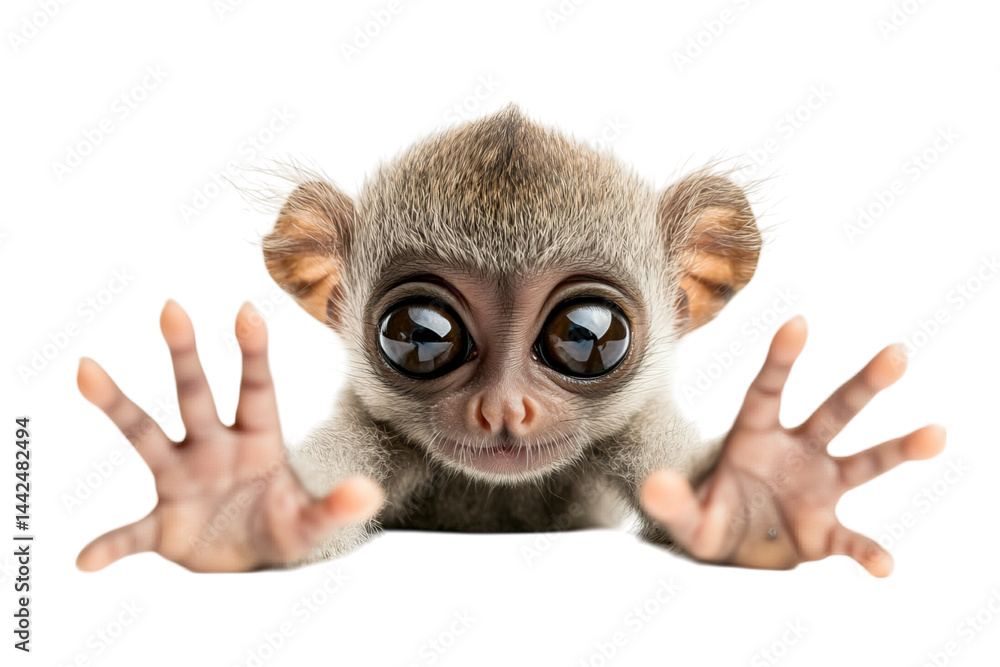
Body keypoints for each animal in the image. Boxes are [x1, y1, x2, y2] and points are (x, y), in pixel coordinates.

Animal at [76, 105, 946, 576]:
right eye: (418, 337)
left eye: (586, 337)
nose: (504, 410)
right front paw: (234, 502)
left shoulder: (633, 428)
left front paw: (763, 492)